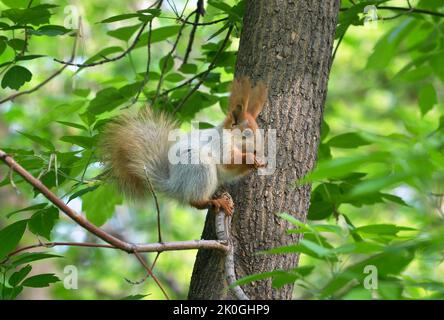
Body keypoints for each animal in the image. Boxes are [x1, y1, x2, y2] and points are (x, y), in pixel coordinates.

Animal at [98, 77, 268, 216]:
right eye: (246, 133)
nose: (258, 150)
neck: (231, 137)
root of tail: (174, 185)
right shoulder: (219, 144)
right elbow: (228, 161)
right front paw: (251, 158)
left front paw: (259, 162)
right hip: (199, 167)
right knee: (194, 201)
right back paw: (214, 201)